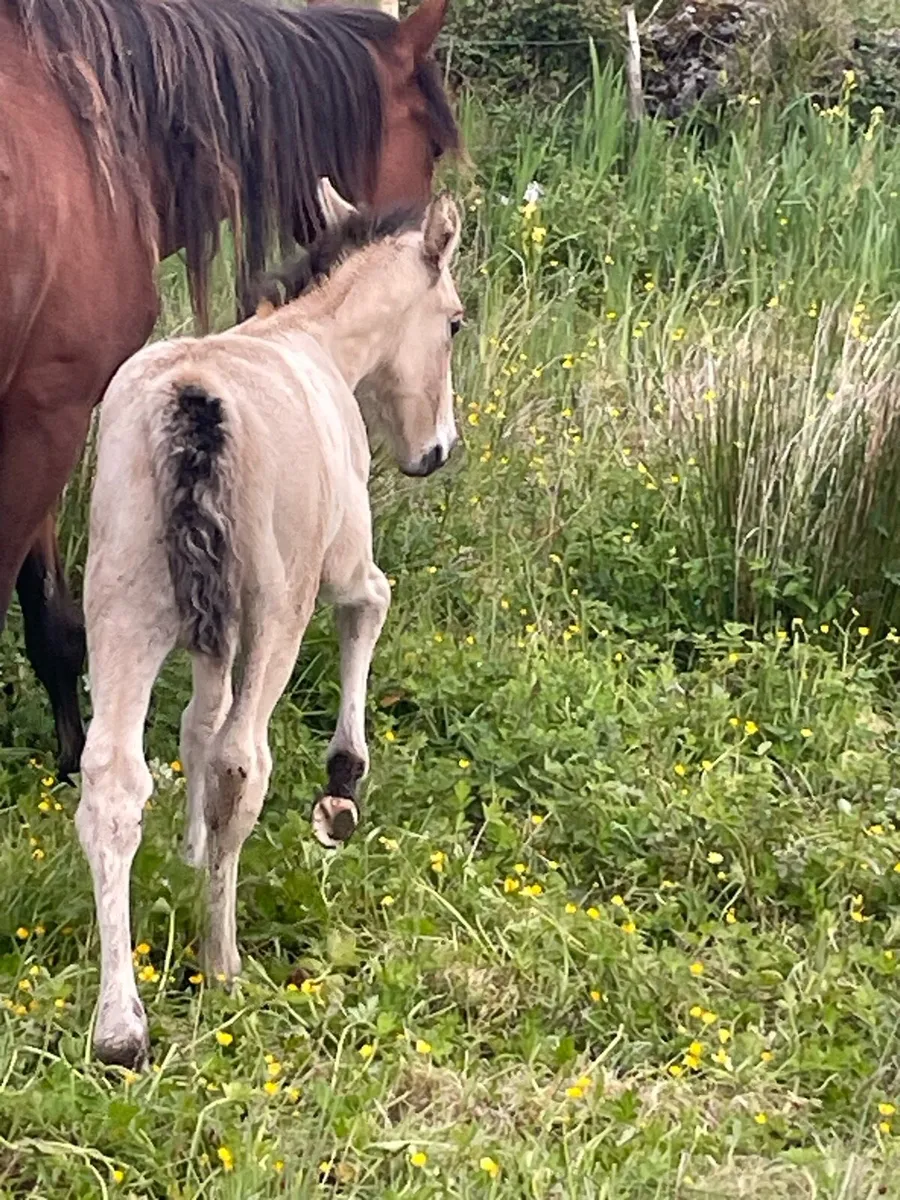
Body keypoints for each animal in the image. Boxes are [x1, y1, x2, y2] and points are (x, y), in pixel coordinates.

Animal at [76, 178, 463, 1067]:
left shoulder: (207, 637)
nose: (437, 452)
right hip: (276, 614)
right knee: (242, 760)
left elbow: (194, 720)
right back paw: (222, 964)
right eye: (456, 321)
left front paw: (188, 849)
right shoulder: (341, 564)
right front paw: (344, 783)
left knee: (115, 778)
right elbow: (369, 603)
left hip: (121, 611)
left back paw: (120, 1027)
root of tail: (194, 404)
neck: (314, 341)